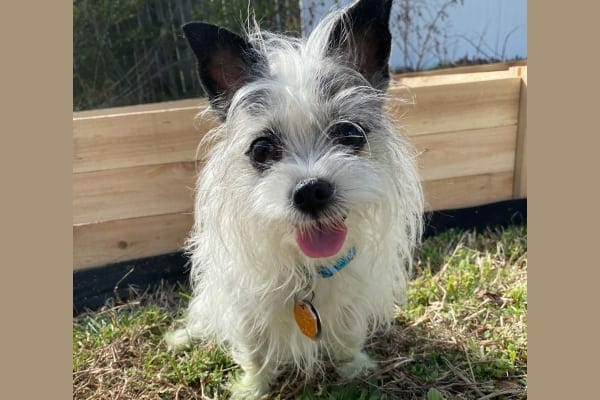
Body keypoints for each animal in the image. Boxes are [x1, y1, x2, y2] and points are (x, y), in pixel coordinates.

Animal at [166, 0, 424, 396]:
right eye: (261, 149)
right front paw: (253, 388)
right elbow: (255, 350)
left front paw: (353, 368)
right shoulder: (246, 308)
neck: (307, 269)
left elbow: (347, 334)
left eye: (350, 134)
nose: (311, 191)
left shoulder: (351, 298)